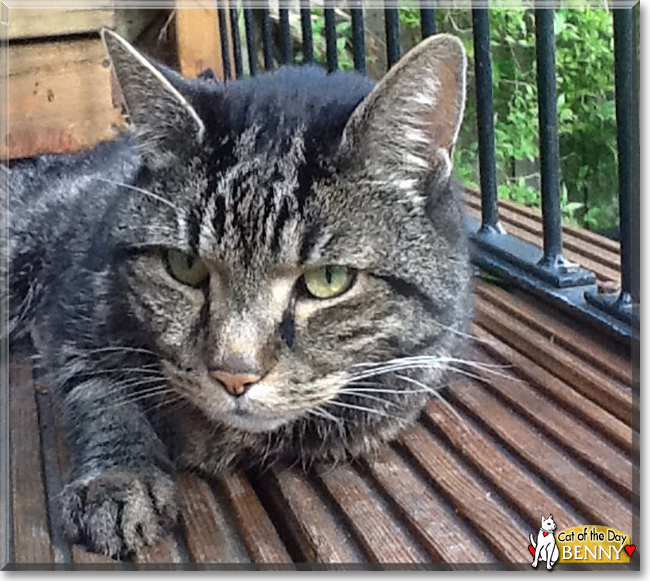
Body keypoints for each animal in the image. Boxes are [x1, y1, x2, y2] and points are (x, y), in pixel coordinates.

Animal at [3, 28, 470, 556]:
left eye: (328, 280)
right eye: (184, 266)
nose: (233, 375)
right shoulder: (71, 316)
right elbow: (98, 392)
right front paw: (119, 477)